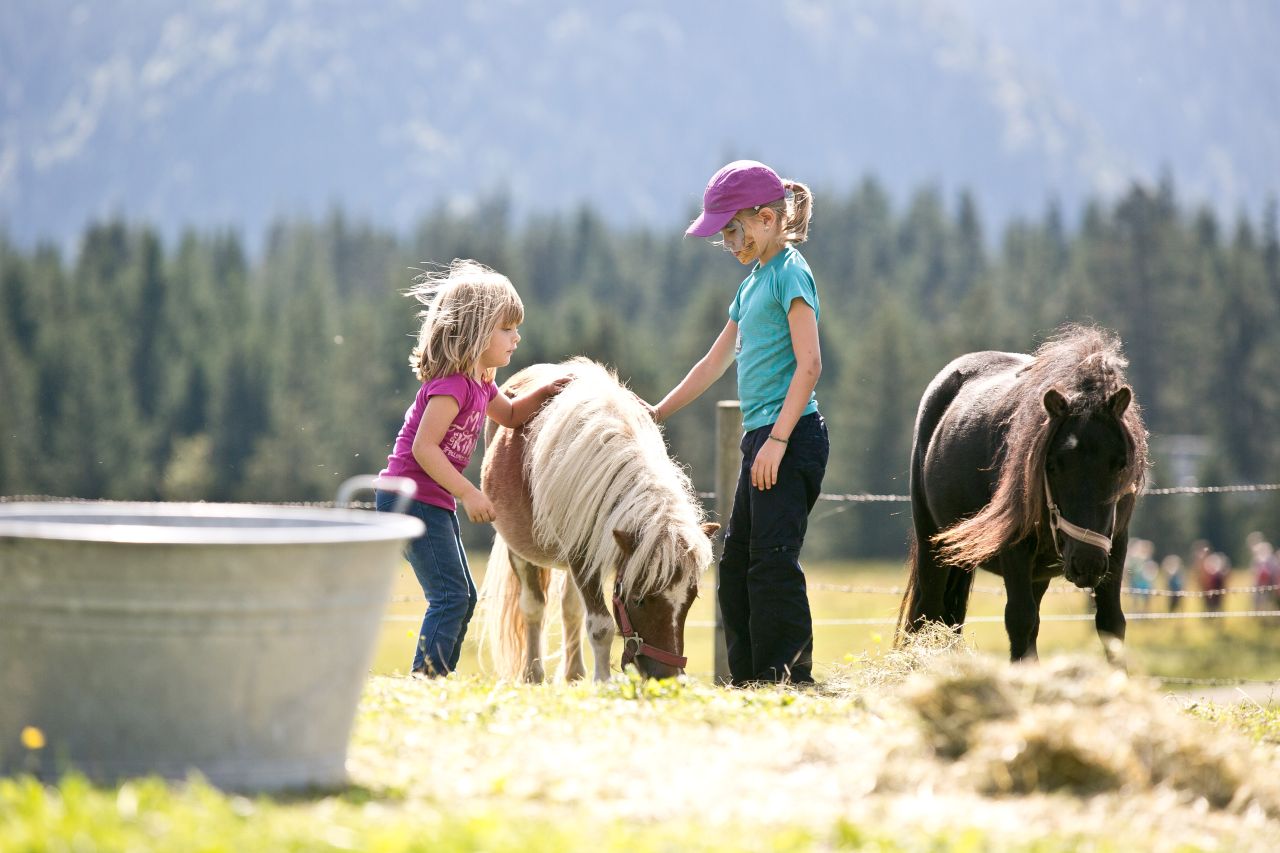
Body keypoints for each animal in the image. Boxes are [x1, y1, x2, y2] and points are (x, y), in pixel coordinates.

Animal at [481, 356, 721, 676]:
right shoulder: (581, 555)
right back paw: (534, 675)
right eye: (639, 600)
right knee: (533, 607)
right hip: (521, 550)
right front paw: (603, 681)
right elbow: (600, 627)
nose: (669, 677)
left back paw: (573, 674)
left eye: (690, 599)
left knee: (569, 608)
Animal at [901, 324, 1152, 655]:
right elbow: (1020, 620)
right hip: (934, 549)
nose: (1086, 563)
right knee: (927, 616)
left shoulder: (1116, 545)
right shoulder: (1015, 549)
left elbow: (1111, 623)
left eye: (1120, 464)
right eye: (1053, 464)